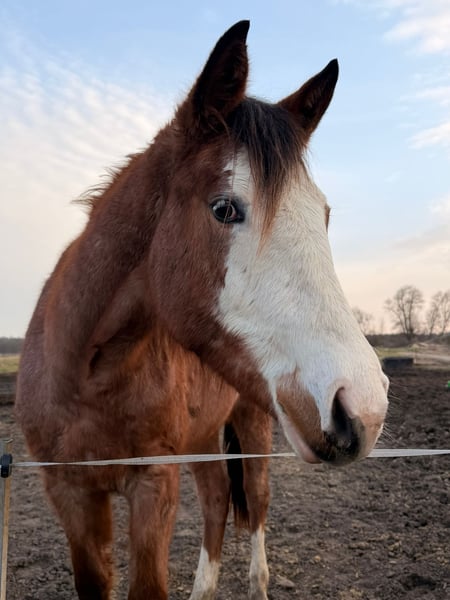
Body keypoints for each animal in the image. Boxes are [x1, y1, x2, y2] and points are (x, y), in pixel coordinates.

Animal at [15, 20, 389, 600]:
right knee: (216, 500)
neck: (86, 374)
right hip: (204, 439)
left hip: (253, 425)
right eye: (224, 208)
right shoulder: (69, 493)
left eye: (323, 215)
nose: (362, 408)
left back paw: (257, 583)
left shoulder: (153, 483)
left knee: (254, 503)